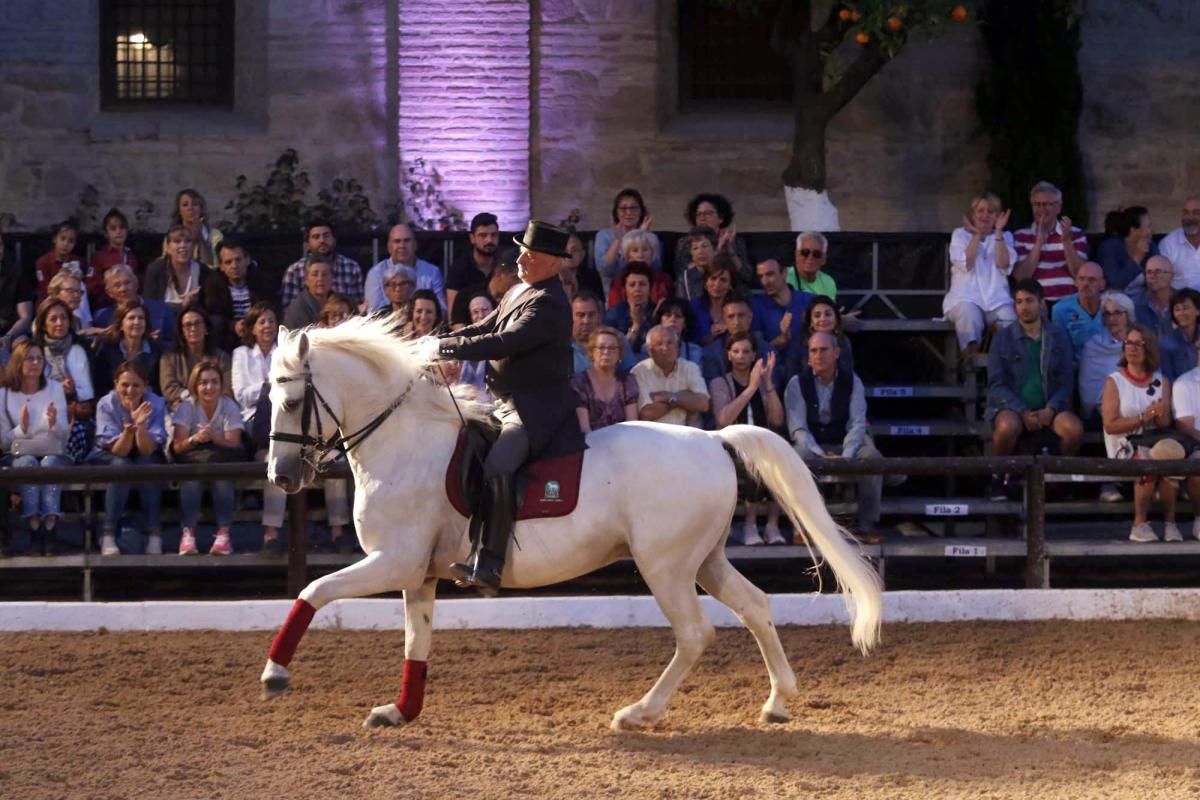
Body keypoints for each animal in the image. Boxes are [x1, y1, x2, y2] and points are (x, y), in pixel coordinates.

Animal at [260, 314, 883, 734]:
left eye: (290, 402)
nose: (281, 476)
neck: (402, 441)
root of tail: (713, 438)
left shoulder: (393, 562)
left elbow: (314, 591)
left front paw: (274, 674)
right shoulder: (420, 573)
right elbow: (418, 641)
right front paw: (399, 710)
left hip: (665, 566)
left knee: (694, 633)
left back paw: (638, 713)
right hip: (704, 559)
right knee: (755, 606)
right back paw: (776, 702)